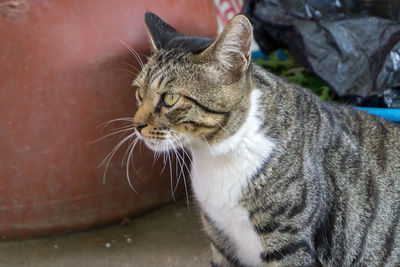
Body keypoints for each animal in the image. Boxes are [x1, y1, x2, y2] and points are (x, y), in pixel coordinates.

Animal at [131, 12, 400, 267]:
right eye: (139, 93)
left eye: (170, 98)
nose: (137, 125)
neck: (218, 154)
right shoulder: (220, 240)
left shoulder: (289, 244)